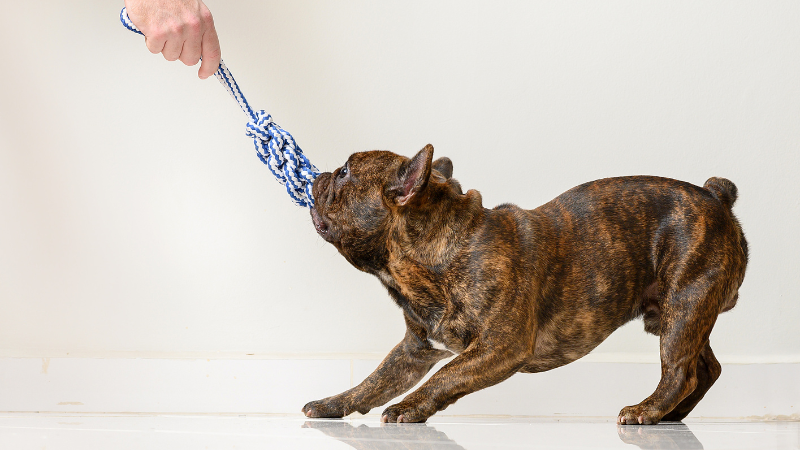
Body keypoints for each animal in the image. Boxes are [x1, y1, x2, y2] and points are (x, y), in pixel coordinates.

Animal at [304, 145, 748, 426]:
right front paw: (332, 403)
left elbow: (445, 375)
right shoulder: (415, 349)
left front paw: (409, 407)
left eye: (344, 173)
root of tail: (715, 197)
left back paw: (648, 410)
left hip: (685, 304)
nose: (321, 176)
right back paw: (671, 415)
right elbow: (373, 382)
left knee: (680, 372)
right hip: (681, 313)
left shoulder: (502, 346)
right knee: (705, 368)